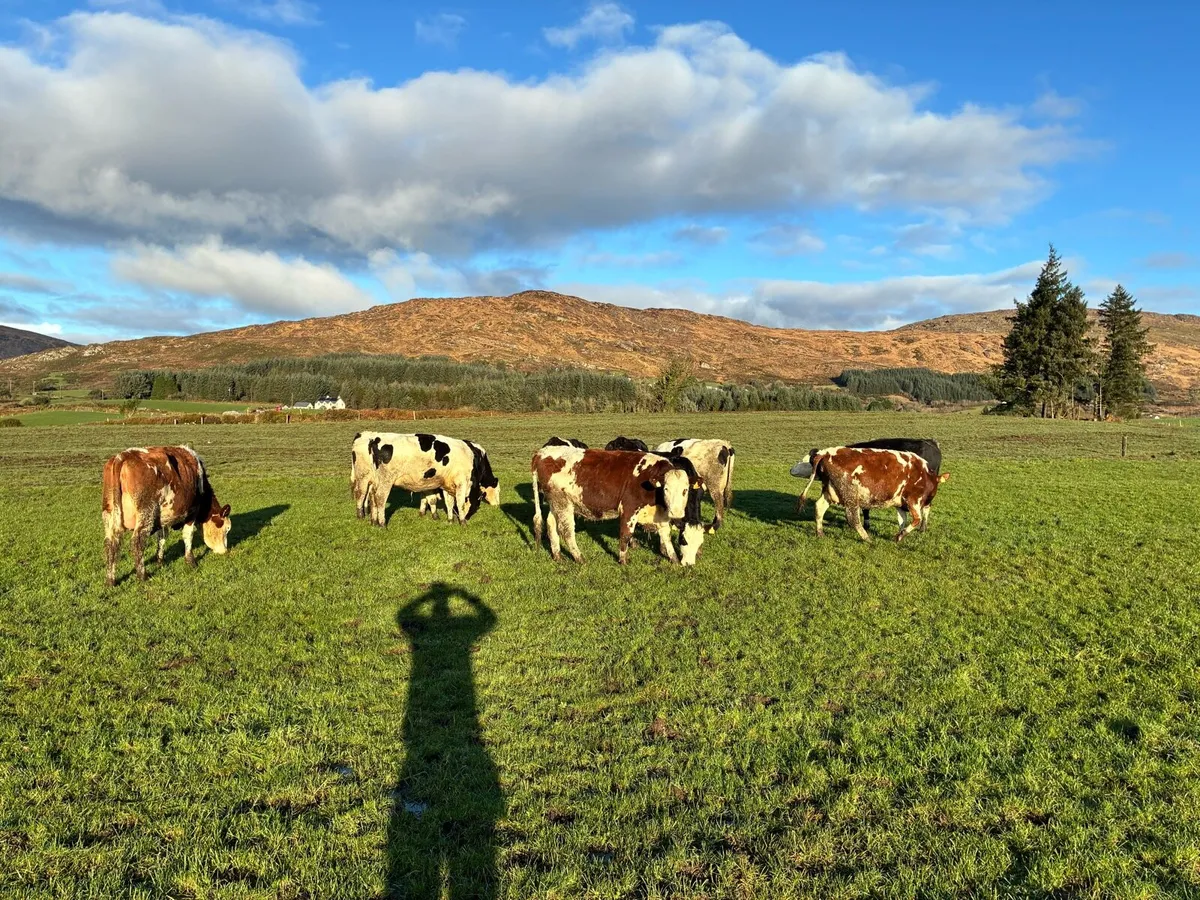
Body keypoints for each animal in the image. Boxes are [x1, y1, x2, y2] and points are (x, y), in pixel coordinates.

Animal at [101, 445, 231, 585]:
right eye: (226, 529)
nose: (224, 550)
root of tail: (123, 456)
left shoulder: (161, 518)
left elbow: (162, 538)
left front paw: (160, 561)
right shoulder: (192, 511)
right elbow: (188, 535)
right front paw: (191, 561)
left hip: (109, 515)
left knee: (110, 544)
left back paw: (110, 581)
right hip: (146, 513)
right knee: (137, 542)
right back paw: (143, 576)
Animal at [352, 432, 499, 526]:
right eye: (498, 491)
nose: (497, 505)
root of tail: (374, 438)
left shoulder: (445, 484)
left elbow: (448, 502)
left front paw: (450, 520)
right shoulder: (462, 482)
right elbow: (460, 503)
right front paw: (462, 522)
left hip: (368, 479)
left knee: (366, 495)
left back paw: (371, 520)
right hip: (384, 481)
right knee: (379, 498)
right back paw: (381, 523)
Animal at [530, 446, 706, 566]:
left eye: (685, 490)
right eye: (666, 488)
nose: (676, 512)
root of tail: (542, 452)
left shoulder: (660, 515)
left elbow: (666, 537)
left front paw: (674, 559)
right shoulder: (629, 508)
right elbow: (626, 535)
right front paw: (623, 560)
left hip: (557, 503)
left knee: (551, 524)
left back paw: (557, 555)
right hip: (563, 503)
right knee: (566, 531)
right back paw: (580, 558)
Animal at [791, 446, 949, 542]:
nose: (929, 502)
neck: (926, 475)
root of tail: (826, 453)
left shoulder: (900, 503)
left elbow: (902, 520)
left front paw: (898, 535)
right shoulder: (913, 500)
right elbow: (916, 520)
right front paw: (901, 535)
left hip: (829, 491)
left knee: (819, 507)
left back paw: (820, 533)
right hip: (850, 495)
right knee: (853, 518)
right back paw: (867, 538)